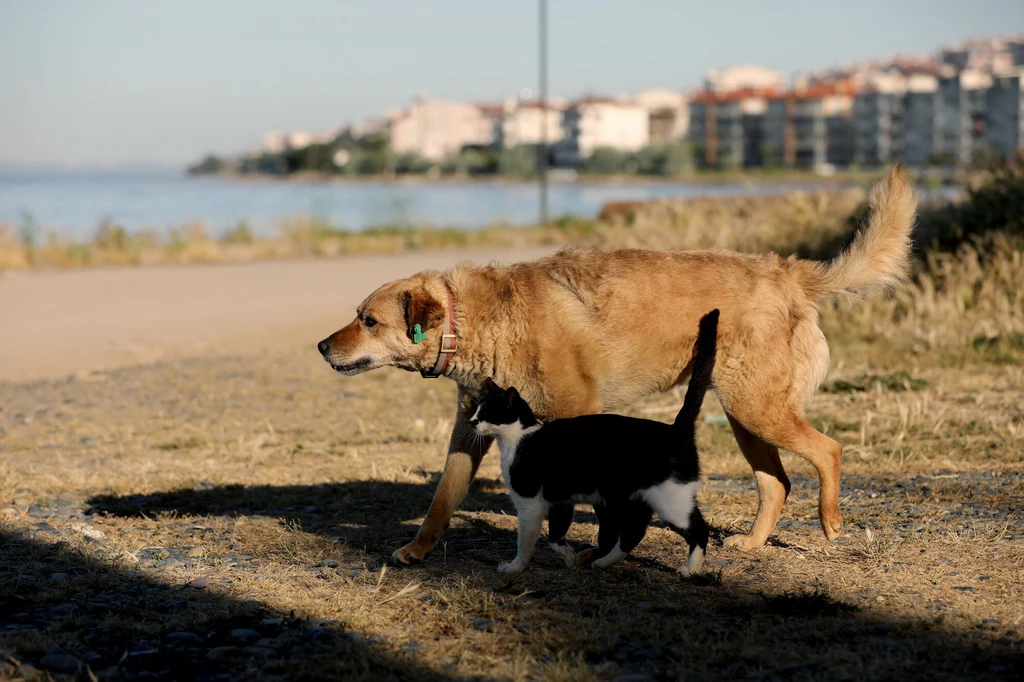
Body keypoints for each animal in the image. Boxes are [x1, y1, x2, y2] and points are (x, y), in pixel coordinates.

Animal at [473, 307, 720, 573]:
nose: (472, 422)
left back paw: (691, 569)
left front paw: (514, 566)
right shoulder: (560, 501)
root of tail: (676, 429)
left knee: (699, 529)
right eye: (476, 411)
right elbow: (555, 537)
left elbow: (526, 541)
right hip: (635, 501)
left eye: (486, 413)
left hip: (671, 502)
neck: (519, 437)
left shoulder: (530, 505)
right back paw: (602, 562)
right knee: (633, 533)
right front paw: (569, 558)